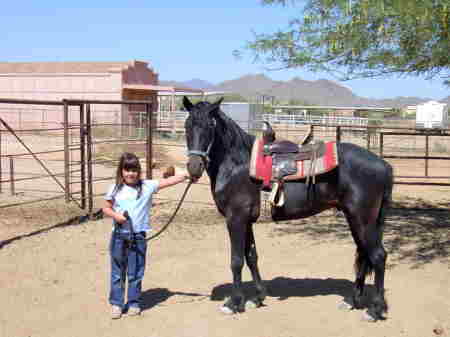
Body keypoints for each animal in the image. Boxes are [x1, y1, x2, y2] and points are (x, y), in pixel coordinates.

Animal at [183, 95, 394, 320]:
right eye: (188, 125)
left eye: (210, 126)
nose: (194, 167)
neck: (236, 165)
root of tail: (384, 165)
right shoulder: (246, 221)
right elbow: (251, 257)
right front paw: (257, 298)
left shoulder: (235, 219)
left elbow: (237, 260)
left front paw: (233, 303)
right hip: (355, 219)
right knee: (364, 254)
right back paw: (352, 301)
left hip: (363, 220)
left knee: (378, 256)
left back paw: (375, 310)